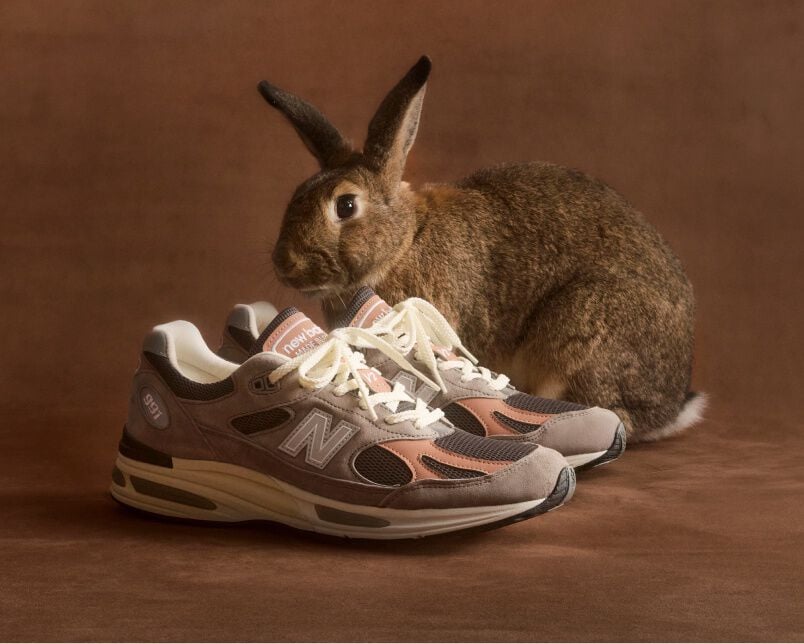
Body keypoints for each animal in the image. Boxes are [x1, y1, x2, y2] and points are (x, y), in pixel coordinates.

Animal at [257, 55, 705, 442]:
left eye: (346, 206)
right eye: (295, 197)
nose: (284, 263)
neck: (405, 242)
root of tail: (670, 408)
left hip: (584, 331)